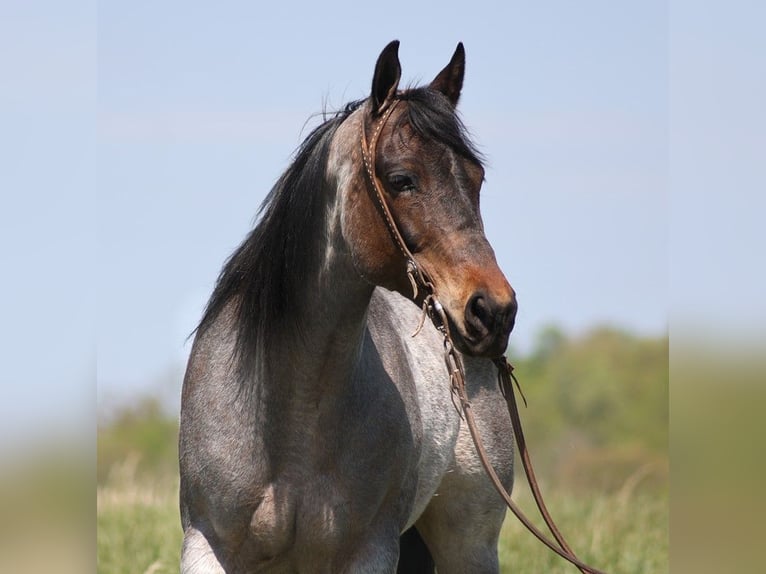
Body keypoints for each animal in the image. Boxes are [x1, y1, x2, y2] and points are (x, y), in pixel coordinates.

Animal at [177, 41, 520, 574]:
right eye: (401, 179)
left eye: (477, 179)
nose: (493, 311)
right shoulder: (206, 546)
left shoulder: (370, 552)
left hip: (469, 547)